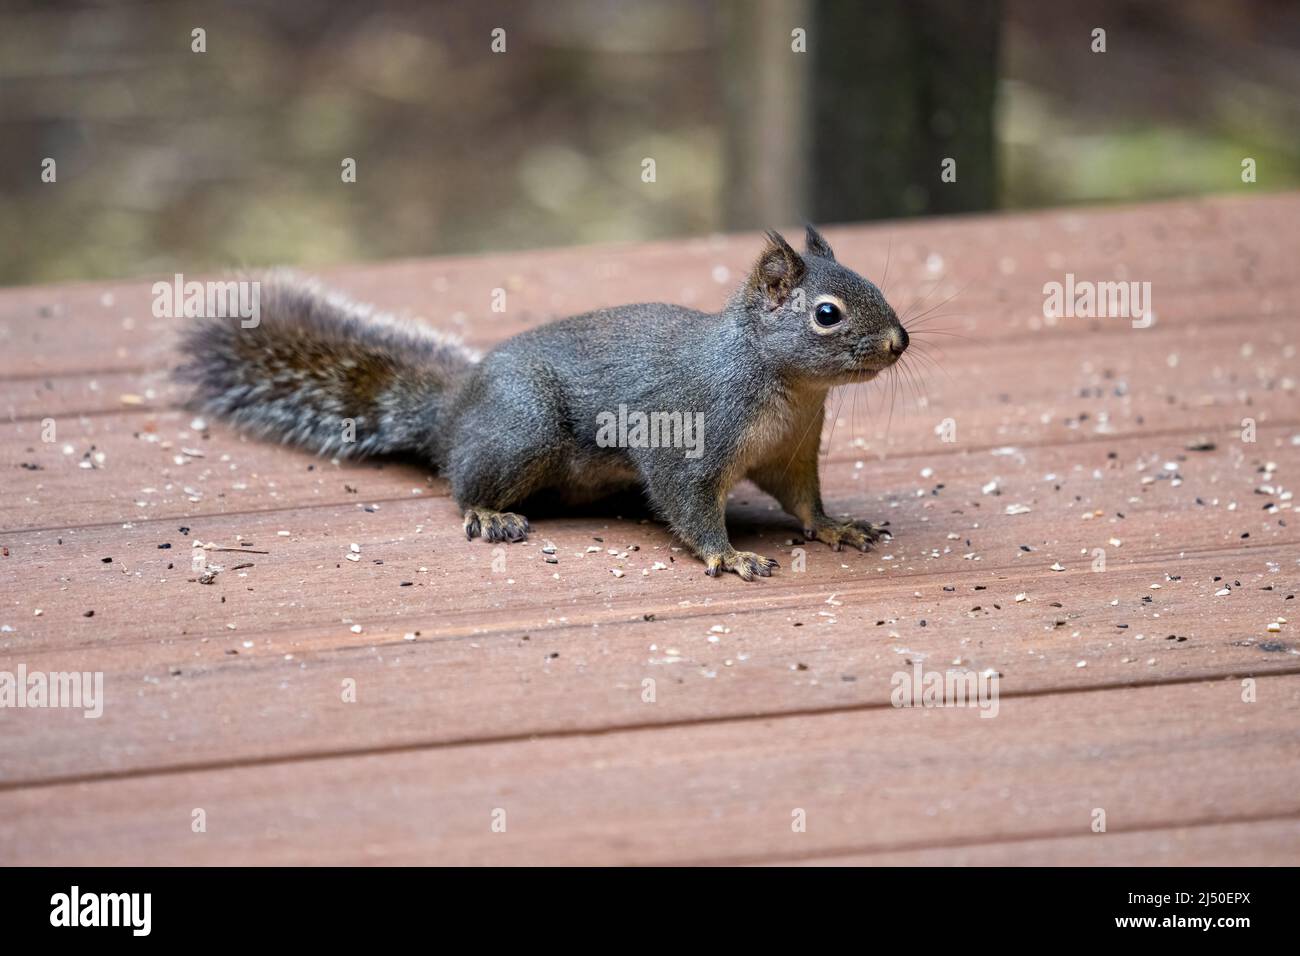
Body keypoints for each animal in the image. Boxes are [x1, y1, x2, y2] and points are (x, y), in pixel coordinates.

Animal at [172, 227, 909, 580]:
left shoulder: (791, 452)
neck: (789, 391)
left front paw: (836, 526)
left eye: (874, 284)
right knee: (463, 482)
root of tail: (456, 411)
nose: (899, 342)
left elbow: (802, 500)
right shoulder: (689, 434)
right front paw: (727, 555)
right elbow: (688, 501)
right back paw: (487, 512)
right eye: (826, 314)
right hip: (524, 432)